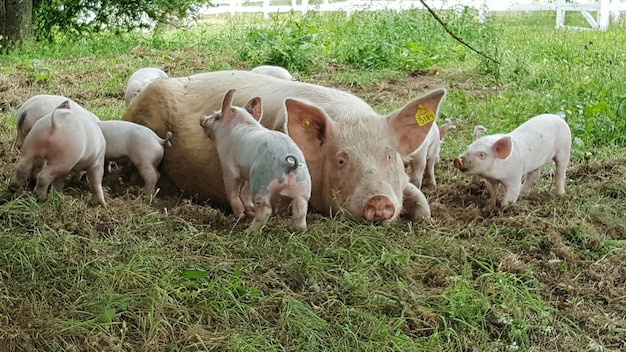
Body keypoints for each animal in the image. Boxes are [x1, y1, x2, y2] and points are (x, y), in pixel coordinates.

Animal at [200, 88, 310, 231]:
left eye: (216, 117)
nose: (202, 118)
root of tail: (290, 163)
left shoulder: (228, 165)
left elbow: (232, 190)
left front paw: (241, 215)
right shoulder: (247, 173)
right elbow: (245, 190)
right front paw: (249, 210)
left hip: (261, 182)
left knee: (266, 210)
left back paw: (249, 230)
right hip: (303, 185)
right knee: (301, 210)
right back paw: (299, 230)